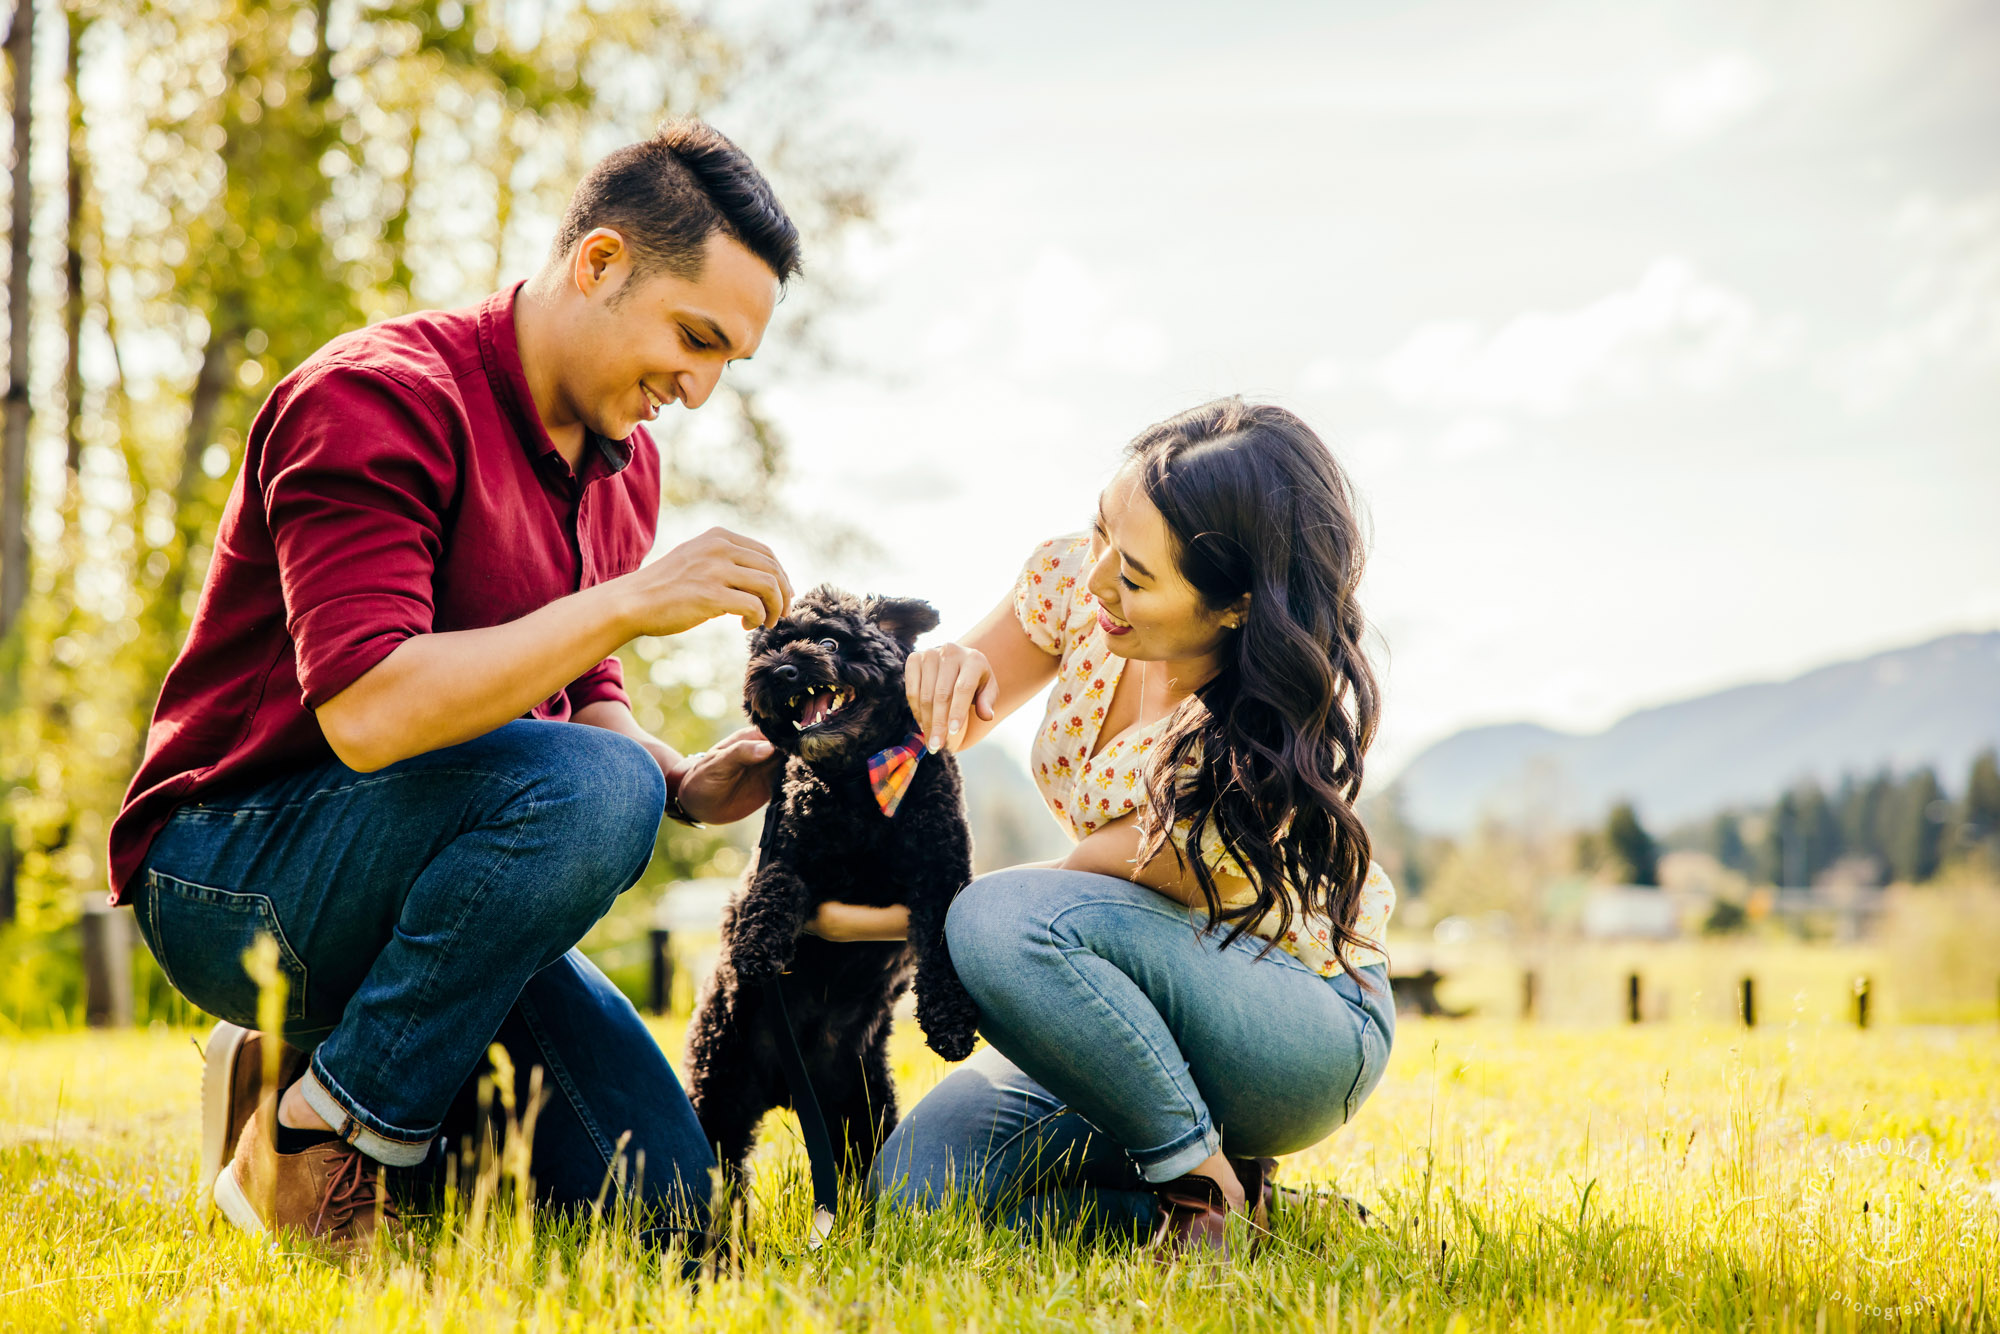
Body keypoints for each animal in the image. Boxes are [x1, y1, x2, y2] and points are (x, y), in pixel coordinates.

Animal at [684, 588, 980, 1184]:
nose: (780, 671)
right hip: (720, 1089)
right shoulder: (788, 854)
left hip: (858, 1112)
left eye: (829, 641)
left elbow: (942, 939)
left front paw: (950, 1021)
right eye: (766, 649)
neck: (857, 781)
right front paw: (754, 948)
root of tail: (786, 1086)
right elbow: (773, 892)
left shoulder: (942, 871)